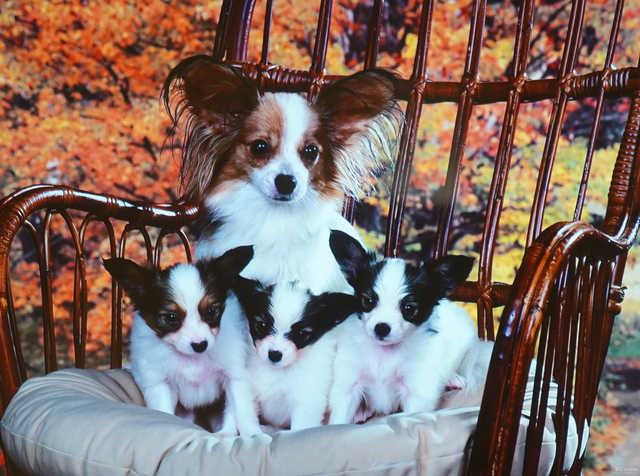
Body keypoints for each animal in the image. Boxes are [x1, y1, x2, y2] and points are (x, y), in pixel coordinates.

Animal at [103, 246, 258, 434]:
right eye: (171, 317)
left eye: (211, 312)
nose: (200, 345)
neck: (192, 360)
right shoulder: (160, 384)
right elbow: (163, 412)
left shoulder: (234, 376)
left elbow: (240, 410)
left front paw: (247, 435)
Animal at [231, 277, 358, 430]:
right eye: (261, 325)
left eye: (301, 333)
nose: (275, 354)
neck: (278, 372)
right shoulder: (245, 389)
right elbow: (245, 415)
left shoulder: (307, 402)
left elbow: (300, 428)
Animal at [327, 230, 479, 424]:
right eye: (368, 300)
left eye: (409, 308)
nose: (381, 328)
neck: (384, 354)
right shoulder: (348, 386)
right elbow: (339, 419)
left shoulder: (416, 392)